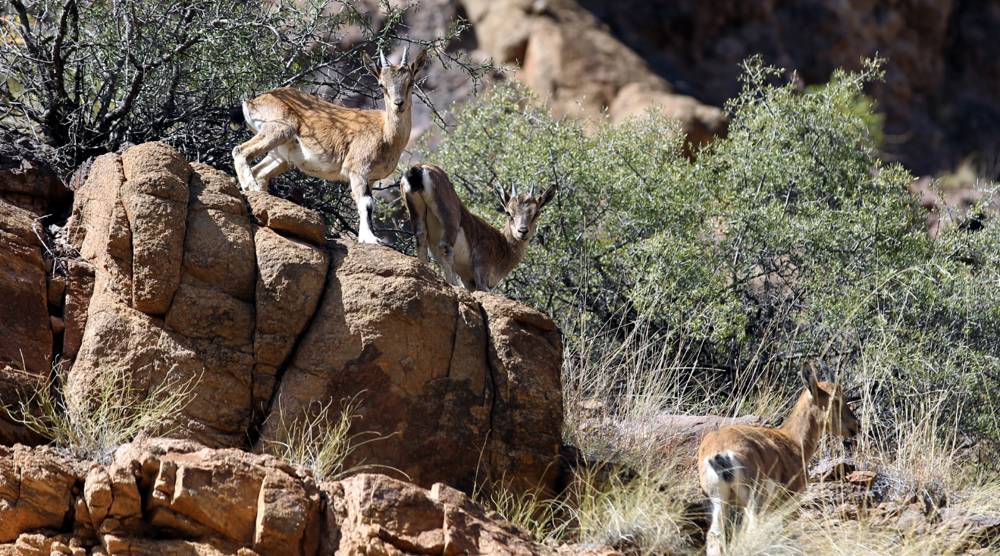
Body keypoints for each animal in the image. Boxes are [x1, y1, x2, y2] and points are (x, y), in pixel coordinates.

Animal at [232, 48, 428, 244]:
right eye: (381, 85)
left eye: (410, 81)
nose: (398, 104)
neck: (386, 133)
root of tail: (253, 102)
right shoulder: (357, 169)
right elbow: (366, 203)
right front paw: (370, 238)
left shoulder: (370, 178)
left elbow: (367, 204)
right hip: (279, 129)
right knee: (240, 151)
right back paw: (251, 187)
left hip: (281, 156)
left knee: (259, 171)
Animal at [398, 163, 556, 292]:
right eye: (508, 212)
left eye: (537, 212)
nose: (522, 232)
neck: (503, 246)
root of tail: (418, 170)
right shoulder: (481, 273)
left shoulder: (468, 280)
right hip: (450, 219)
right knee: (445, 247)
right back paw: (453, 285)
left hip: (416, 212)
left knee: (420, 238)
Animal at [696, 364, 860, 556]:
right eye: (835, 399)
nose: (855, 426)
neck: (793, 441)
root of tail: (721, 452)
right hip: (753, 503)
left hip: (719, 501)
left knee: (715, 535)